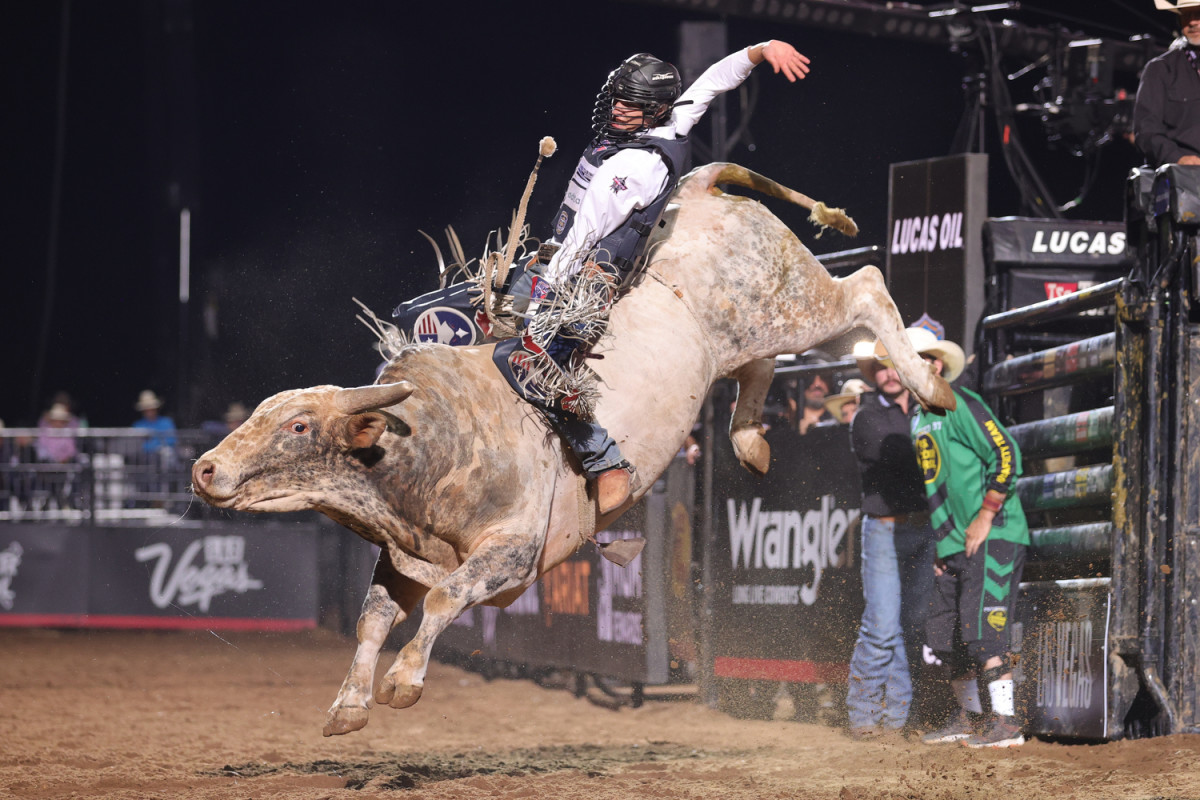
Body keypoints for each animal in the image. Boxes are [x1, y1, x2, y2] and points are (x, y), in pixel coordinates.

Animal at [189, 163, 955, 738]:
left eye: (298, 427)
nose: (204, 468)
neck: (434, 443)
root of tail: (701, 187)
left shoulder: (514, 549)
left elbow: (445, 598)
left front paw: (403, 683)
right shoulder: (401, 556)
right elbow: (373, 616)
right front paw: (347, 706)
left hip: (791, 303)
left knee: (865, 291)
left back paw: (931, 385)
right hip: (753, 335)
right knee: (763, 366)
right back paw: (750, 442)